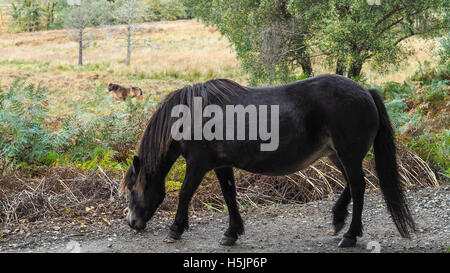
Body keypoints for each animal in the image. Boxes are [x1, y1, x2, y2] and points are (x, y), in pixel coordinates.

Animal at [119, 74, 414, 246]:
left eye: (132, 188)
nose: (132, 223)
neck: (193, 115)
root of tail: (366, 92)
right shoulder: (222, 165)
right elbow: (229, 196)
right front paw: (232, 232)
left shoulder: (198, 164)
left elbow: (184, 193)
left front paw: (175, 229)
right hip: (336, 156)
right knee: (353, 186)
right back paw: (338, 218)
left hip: (348, 156)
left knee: (359, 187)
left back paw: (350, 235)